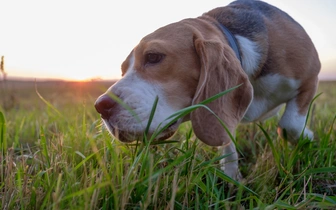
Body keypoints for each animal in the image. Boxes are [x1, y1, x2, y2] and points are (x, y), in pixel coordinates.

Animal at [94, 0, 320, 180]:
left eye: (153, 57)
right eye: (123, 70)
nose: (100, 106)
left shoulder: (311, 77)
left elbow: (290, 124)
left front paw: (307, 138)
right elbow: (227, 141)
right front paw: (232, 178)